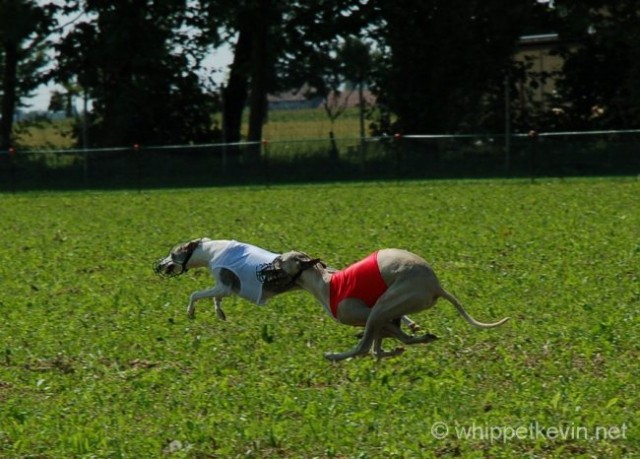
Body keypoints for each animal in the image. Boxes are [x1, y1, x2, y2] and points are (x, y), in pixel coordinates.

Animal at [260, 250, 510, 362]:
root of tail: (435, 285)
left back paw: (335, 356)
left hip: (385, 304)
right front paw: (402, 340)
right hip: (390, 306)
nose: (264, 270)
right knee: (378, 346)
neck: (326, 283)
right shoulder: (384, 320)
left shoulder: (368, 313)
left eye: (279, 260)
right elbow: (388, 337)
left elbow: (381, 338)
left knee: (365, 347)